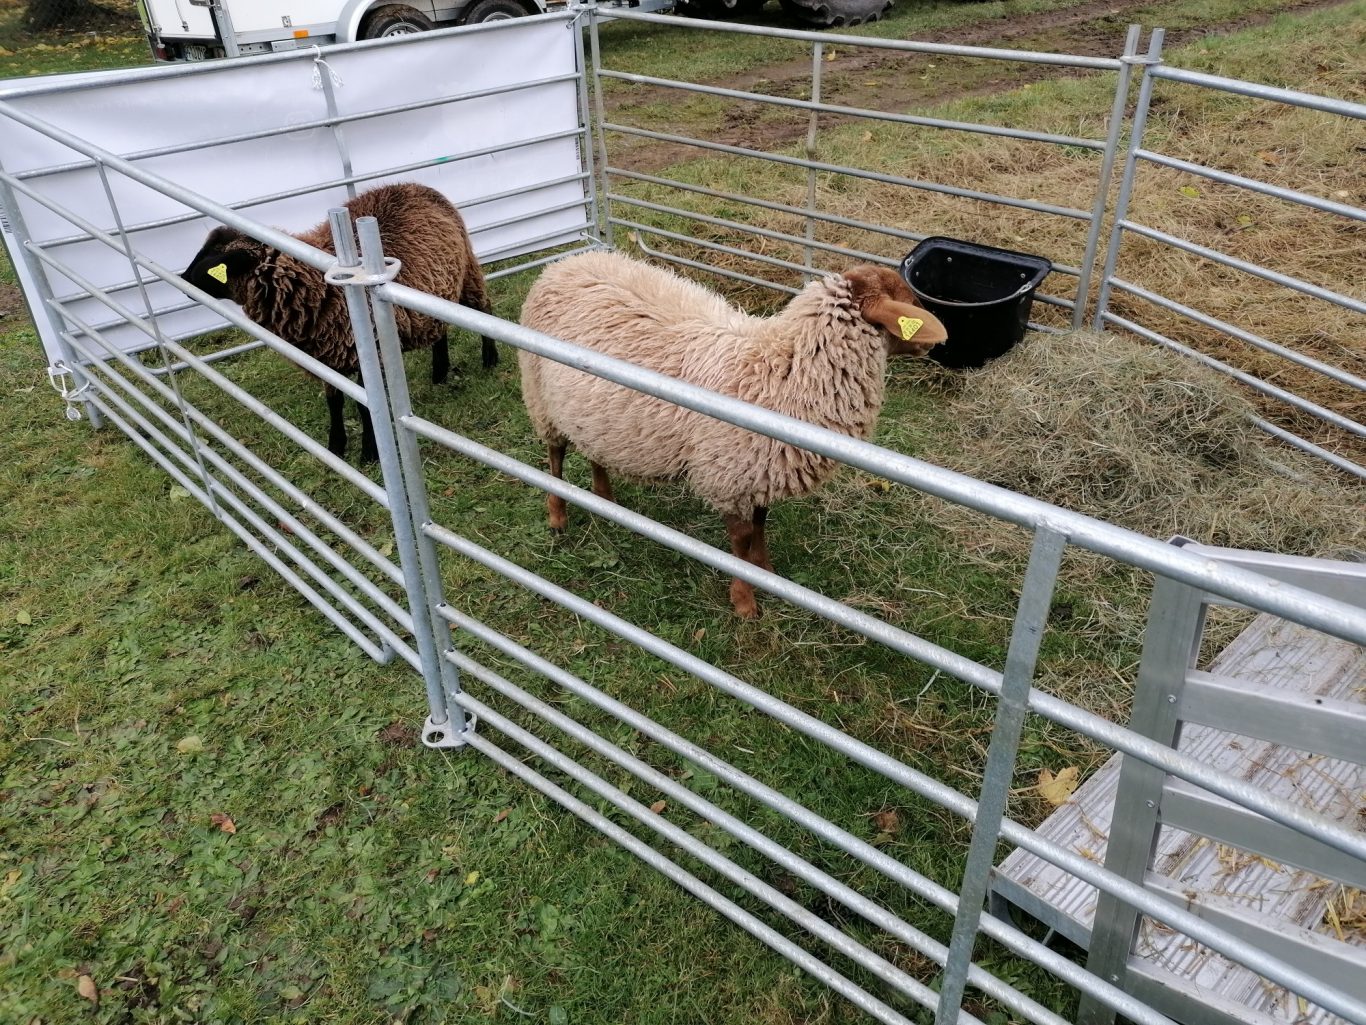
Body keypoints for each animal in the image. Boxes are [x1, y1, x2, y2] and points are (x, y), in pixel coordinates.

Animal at [183, 182, 496, 462]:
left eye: (213, 261)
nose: (183, 279)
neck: (314, 286)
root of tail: (412, 184)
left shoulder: (367, 351)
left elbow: (365, 408)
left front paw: (370, 454)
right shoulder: (326, 357)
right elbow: (334, 402)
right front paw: (335, 447)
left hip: (467, 271)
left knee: (484, 311)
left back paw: (490, 359)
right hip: (435, 287)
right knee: (438, 329)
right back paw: (439, 373)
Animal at [518, 250, 948, 619]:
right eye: (908, 302)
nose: (939, 345)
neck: (784, 371)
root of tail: (564, 263)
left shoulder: (758, 468)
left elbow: (761, 522)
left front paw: (766, 571)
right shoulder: (728, 473)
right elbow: (740, 538)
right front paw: (744, 601)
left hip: (593, 410)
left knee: (593, 449)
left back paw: (605, 499)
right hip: (539, 394)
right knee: (555, 455)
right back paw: (557, 514)